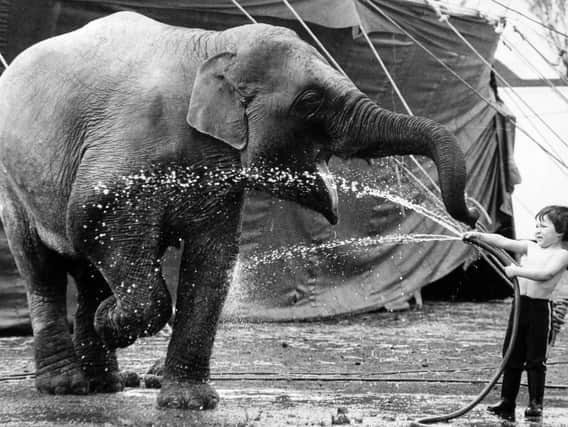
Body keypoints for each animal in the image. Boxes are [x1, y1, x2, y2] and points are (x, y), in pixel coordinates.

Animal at [0, 11, 480, 410]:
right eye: (309, 101)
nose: (472, 216)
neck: (211, 45)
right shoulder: (123, 152)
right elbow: (92, 217)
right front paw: (112, 322)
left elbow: (213, 260)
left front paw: (190, 403)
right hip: (11, 184)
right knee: (41, 267)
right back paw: (66, 385)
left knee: (89, 272)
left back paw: (105, 379)